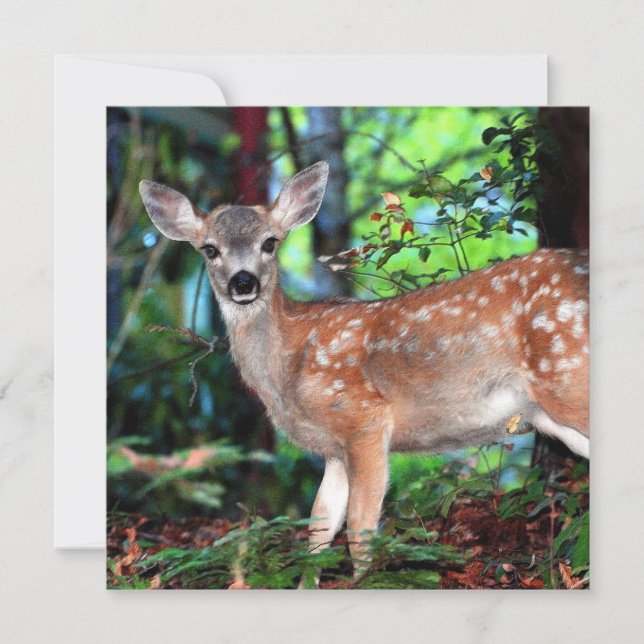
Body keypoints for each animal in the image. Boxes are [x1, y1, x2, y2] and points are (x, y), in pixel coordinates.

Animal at [139, 160, 589, 582]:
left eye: (270, 242)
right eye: (209, 249)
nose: (243, 282)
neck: (287, 370)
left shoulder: (363, 417)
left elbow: (359, 526)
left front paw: (364, 582)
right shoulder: (333, 449)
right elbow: (319, 527)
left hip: (568, 372)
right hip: (552, 414)